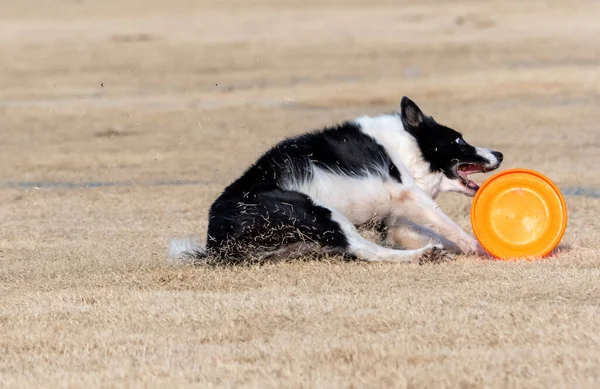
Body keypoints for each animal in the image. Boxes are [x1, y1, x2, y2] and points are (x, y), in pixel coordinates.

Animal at [169, 96, 502, 264]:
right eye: (459, 140)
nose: (498, 153)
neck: (409, 144)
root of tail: (214, 237)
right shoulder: (407, 195)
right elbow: (448, 225)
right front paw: (479, 247)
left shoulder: (397, 221)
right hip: (316, 211)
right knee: (363, 250)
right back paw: (423, 255)